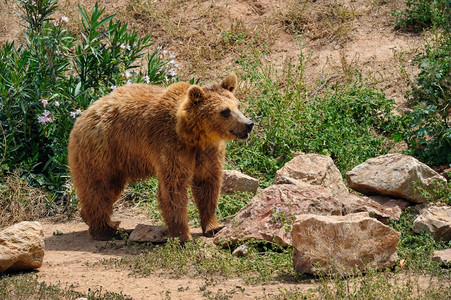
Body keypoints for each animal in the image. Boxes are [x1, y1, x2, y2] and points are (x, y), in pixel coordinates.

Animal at [70, 74, 254, 241]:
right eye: (225, 111)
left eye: (238, 105)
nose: (248, 124)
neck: (194, 136)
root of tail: (83, 114)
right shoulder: (171, 146)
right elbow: (174, 188)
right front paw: (183, 237)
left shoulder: (207, 152)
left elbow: (207, 184)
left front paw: (213, 226)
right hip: (102, 151)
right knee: (99, 188)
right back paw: (107, 230)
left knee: (109, 190)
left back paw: (93, 219)